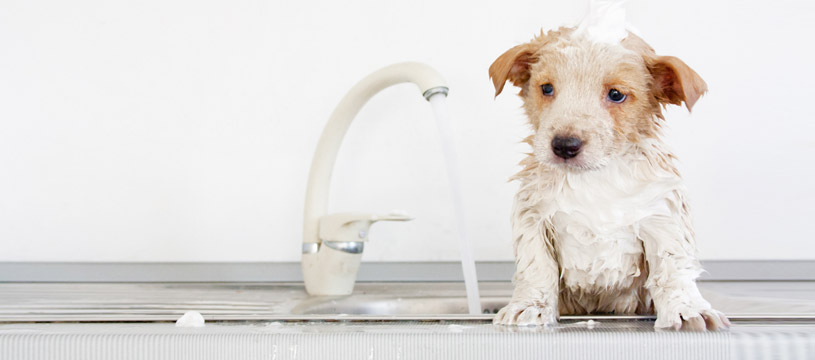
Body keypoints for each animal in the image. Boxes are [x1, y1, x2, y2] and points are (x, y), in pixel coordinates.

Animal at [488, 26, 728, 332]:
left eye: (616, 94)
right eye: (547, 88)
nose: (564, 145)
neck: (594, 179)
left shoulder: (661, 215)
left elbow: (672, 269)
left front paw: (687, 309)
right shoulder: (534, 215)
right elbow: (536, 266)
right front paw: (530, 306)